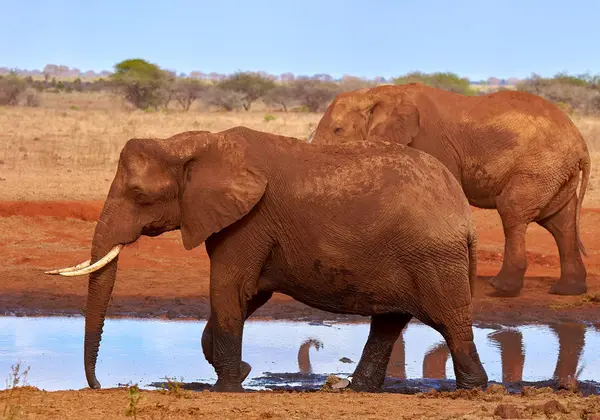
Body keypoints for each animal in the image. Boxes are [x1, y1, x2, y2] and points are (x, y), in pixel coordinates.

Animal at [312, 83, 592, 296]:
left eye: (338, 130)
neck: (377, 93)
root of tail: (581, 144)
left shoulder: (430, 142)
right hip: (555, 171)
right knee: (560, 222)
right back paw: (567, 291)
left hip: (541, 166)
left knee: (513, 210)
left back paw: (501, 288)